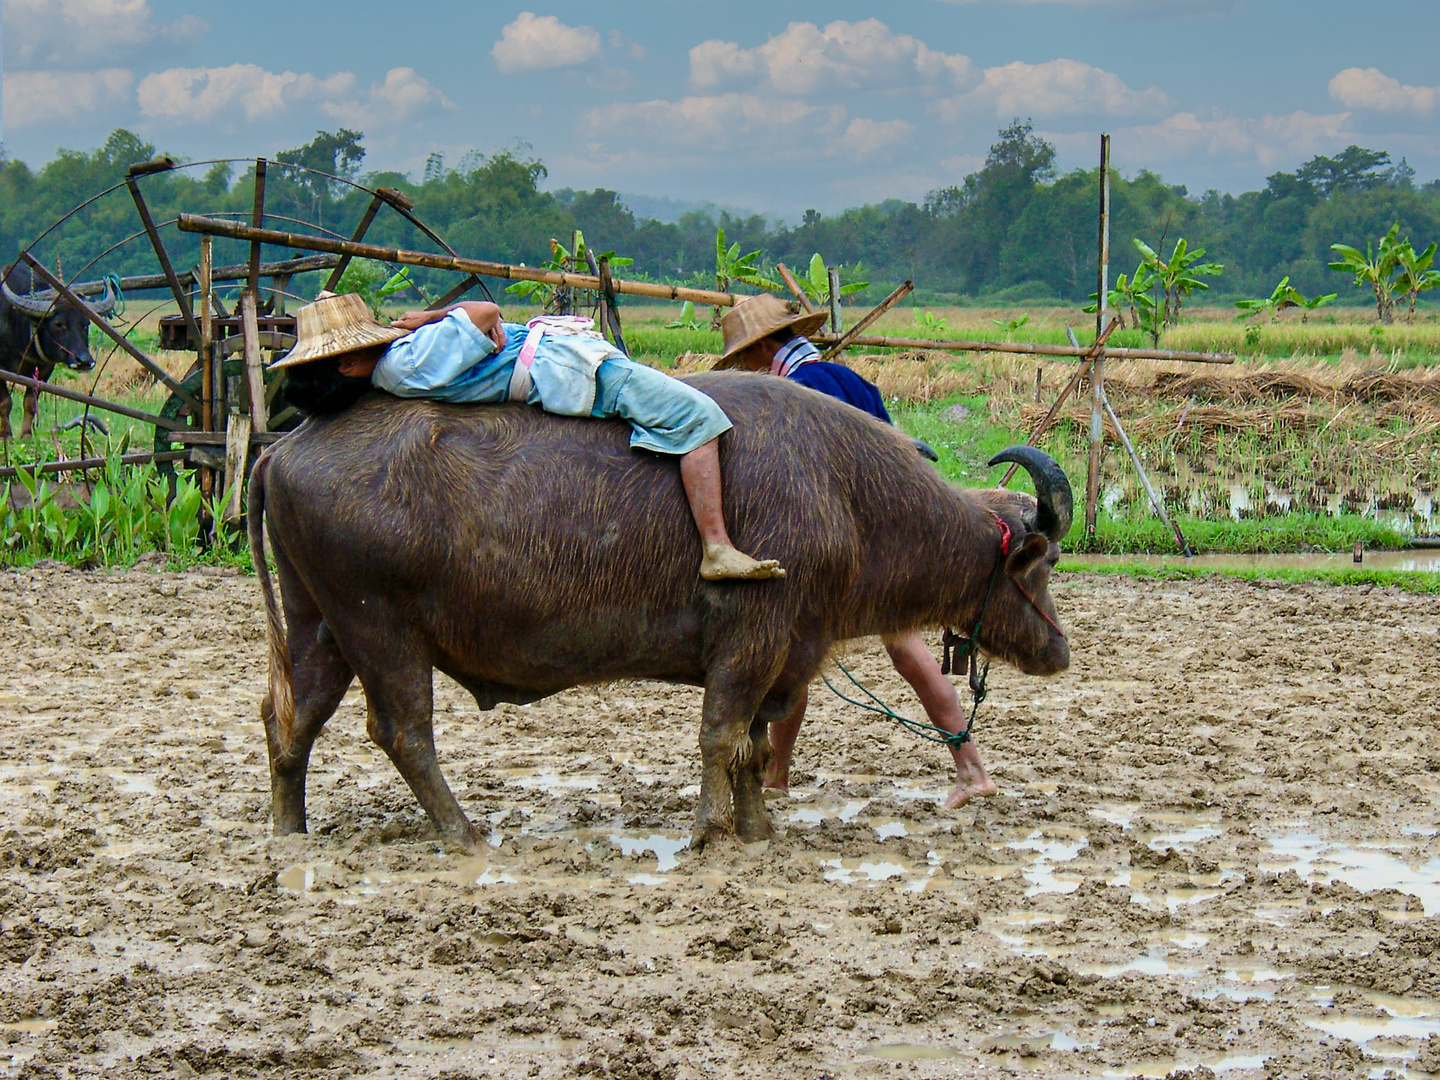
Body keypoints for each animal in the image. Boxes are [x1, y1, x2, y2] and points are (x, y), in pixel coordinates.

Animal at [1, 266, 115, 440]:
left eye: (86, 324)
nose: (84, 361)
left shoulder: (44, 369)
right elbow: (5, 402)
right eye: (59, 323)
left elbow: (30, 403)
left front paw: (26, 434)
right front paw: (6, 435)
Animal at [247, 377, 1071, 852]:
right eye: (1045, 564)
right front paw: (707, 832)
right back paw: (464, 834)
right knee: (403, 732)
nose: (1060, 651)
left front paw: (757, 829)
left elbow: (752, 745)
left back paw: (290, 831)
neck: (841, 489)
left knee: (291, 719)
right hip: (379, 628)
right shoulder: (750, 641)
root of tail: (286, 446)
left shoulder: (783, 656)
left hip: (321, 624)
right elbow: (720, 736)